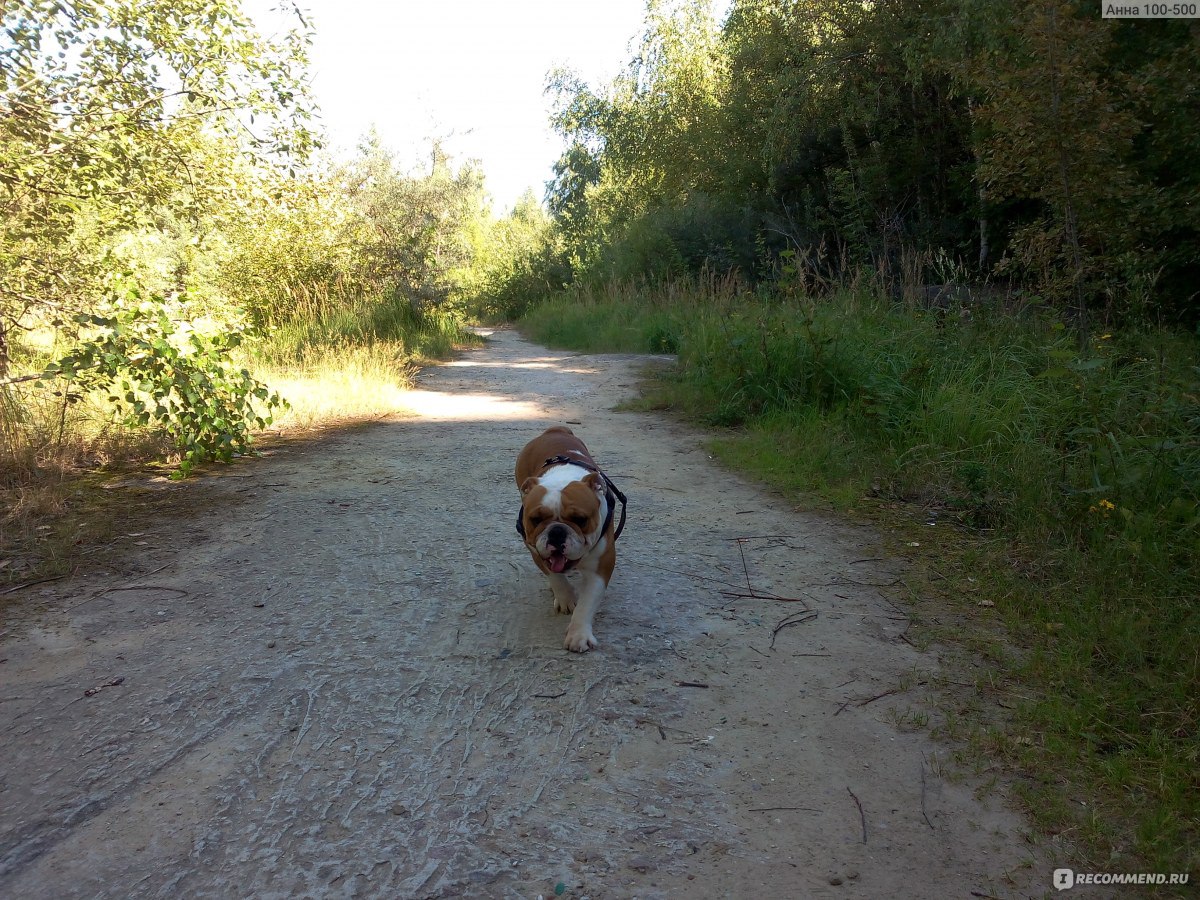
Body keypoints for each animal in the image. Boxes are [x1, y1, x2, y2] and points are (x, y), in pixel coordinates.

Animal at [516, 429, 628, 657]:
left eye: (580, 519)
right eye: (536, 519)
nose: (557, 531)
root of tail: (554, 430)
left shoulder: (600, 567)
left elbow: (587, 603)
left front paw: (579, 635)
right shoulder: (535, 550)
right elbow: (556, 577)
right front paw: (566, 598)